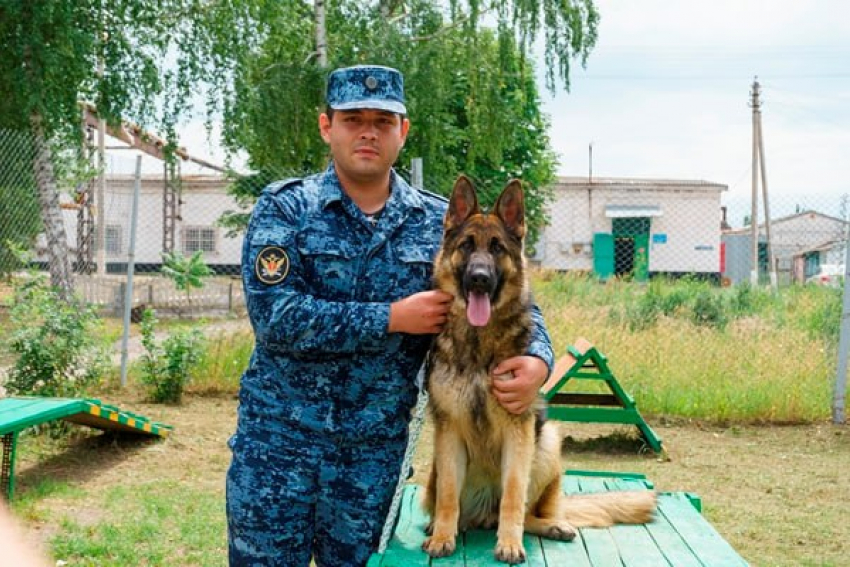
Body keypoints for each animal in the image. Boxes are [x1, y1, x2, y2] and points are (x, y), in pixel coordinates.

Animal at [422, 178, 656, 564]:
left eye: (497, 248)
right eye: (466, 246)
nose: (480, 278)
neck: (479, 342)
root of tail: (484, 512)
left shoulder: (518, 434)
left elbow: (514, 497)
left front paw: (509, 544)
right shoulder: (450, 432)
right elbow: (448, 498)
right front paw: (443, 536)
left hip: (546, 442)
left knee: (529, 511)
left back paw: (551, 526)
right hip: (438, 467)